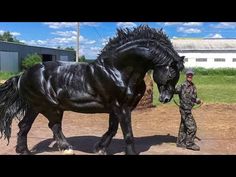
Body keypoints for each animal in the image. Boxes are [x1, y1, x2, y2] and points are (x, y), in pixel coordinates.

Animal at [0, 25, 184, 155]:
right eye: (171, 73)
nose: (166, 98)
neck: (117, 70)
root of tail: (22, 75)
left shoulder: (116, 108)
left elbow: (112, 129)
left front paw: (99, 147)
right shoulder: (122, 107)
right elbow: (127, 133)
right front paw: (129, 152)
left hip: (38, 107)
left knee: (27, 125)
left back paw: (27, 150)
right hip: (47, 106)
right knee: (51, 126)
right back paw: (63, 148)